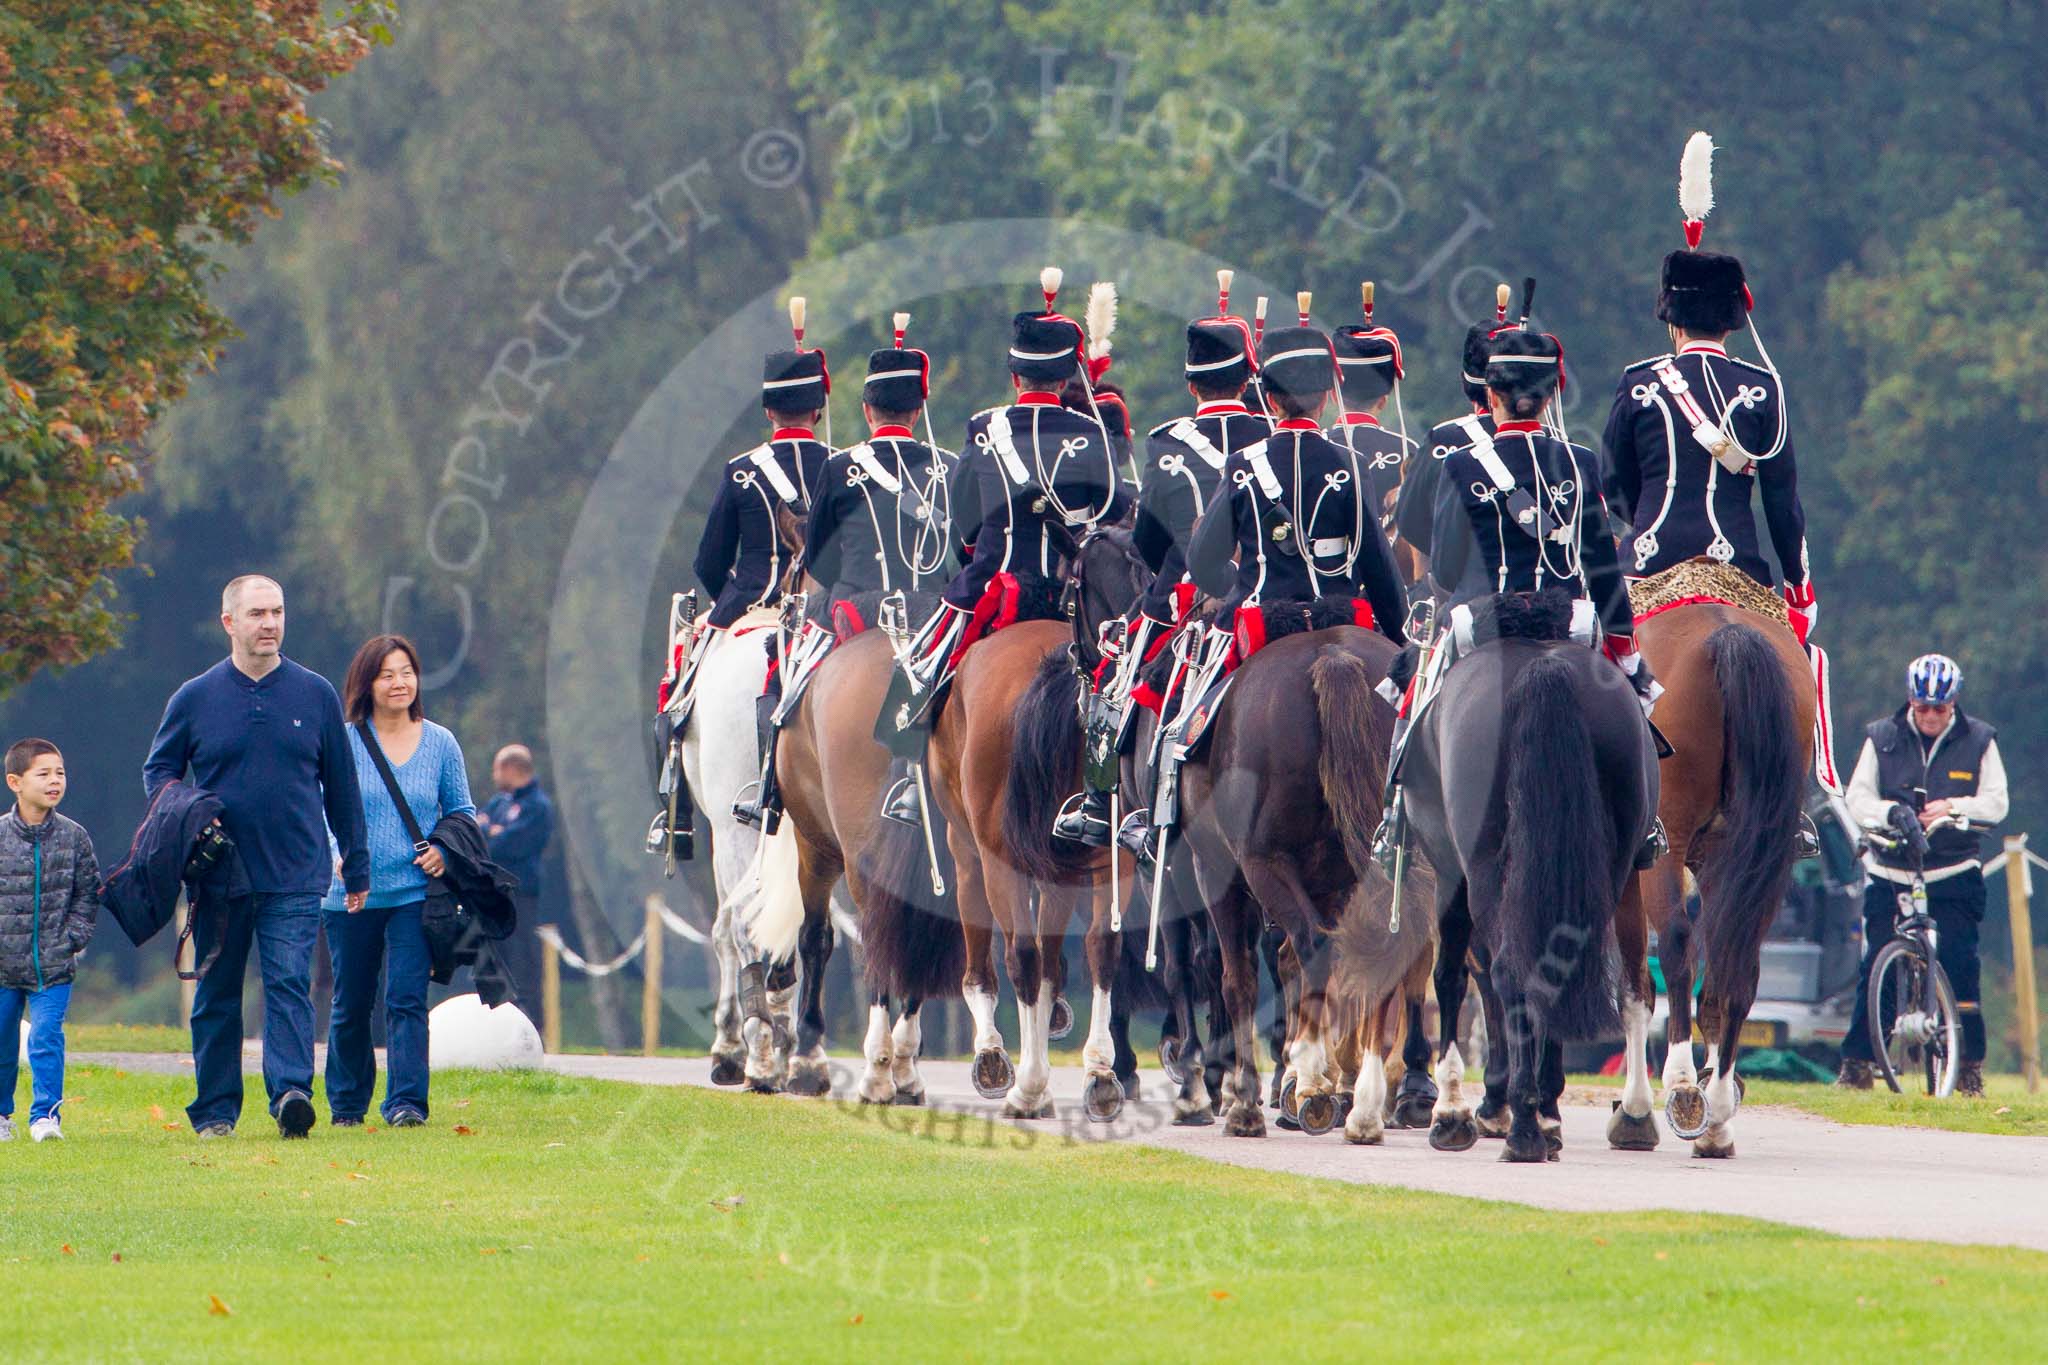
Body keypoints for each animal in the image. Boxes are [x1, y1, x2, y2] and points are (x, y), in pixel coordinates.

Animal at [1400, 609, 1654, 1162]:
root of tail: (1543, 667)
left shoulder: (1450, 874)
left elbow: (1453, 977)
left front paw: (1455, 1110)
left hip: (1478, 868)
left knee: (1503, 973)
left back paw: (1520, 1128)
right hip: (1608, 868)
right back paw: (1546, 1118)